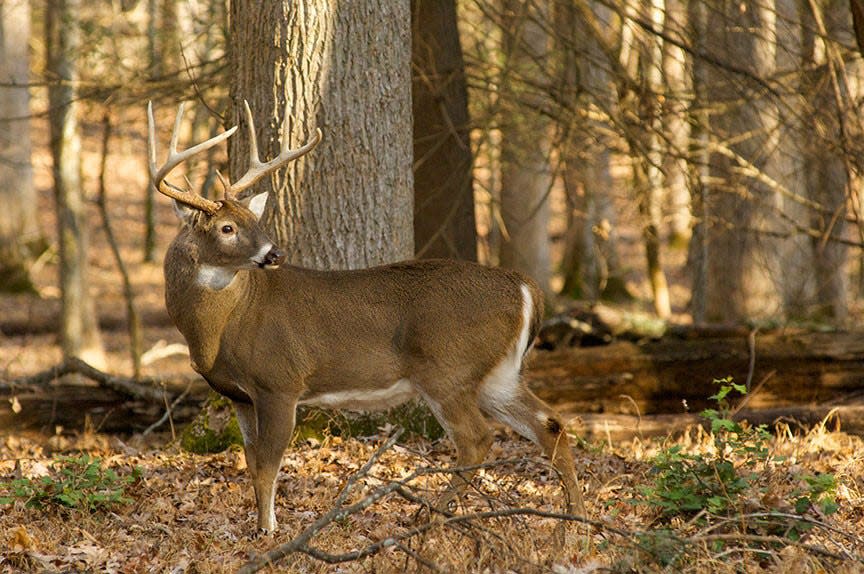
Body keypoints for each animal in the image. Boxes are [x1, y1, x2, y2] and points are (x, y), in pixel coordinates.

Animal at [147, 100, 588, 536]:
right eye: (227, 228)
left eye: (255, 221)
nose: (275, 253)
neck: (219, 329)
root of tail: (525, 287)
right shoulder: (239, 395)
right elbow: (252, 460)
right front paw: (260, 525)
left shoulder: (280, 381)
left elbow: (269, 464)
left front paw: (268, 531)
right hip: (499, 374)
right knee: (550, 423)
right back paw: (574, 520)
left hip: (449, 369)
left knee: (477, 439)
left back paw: (432, 516)